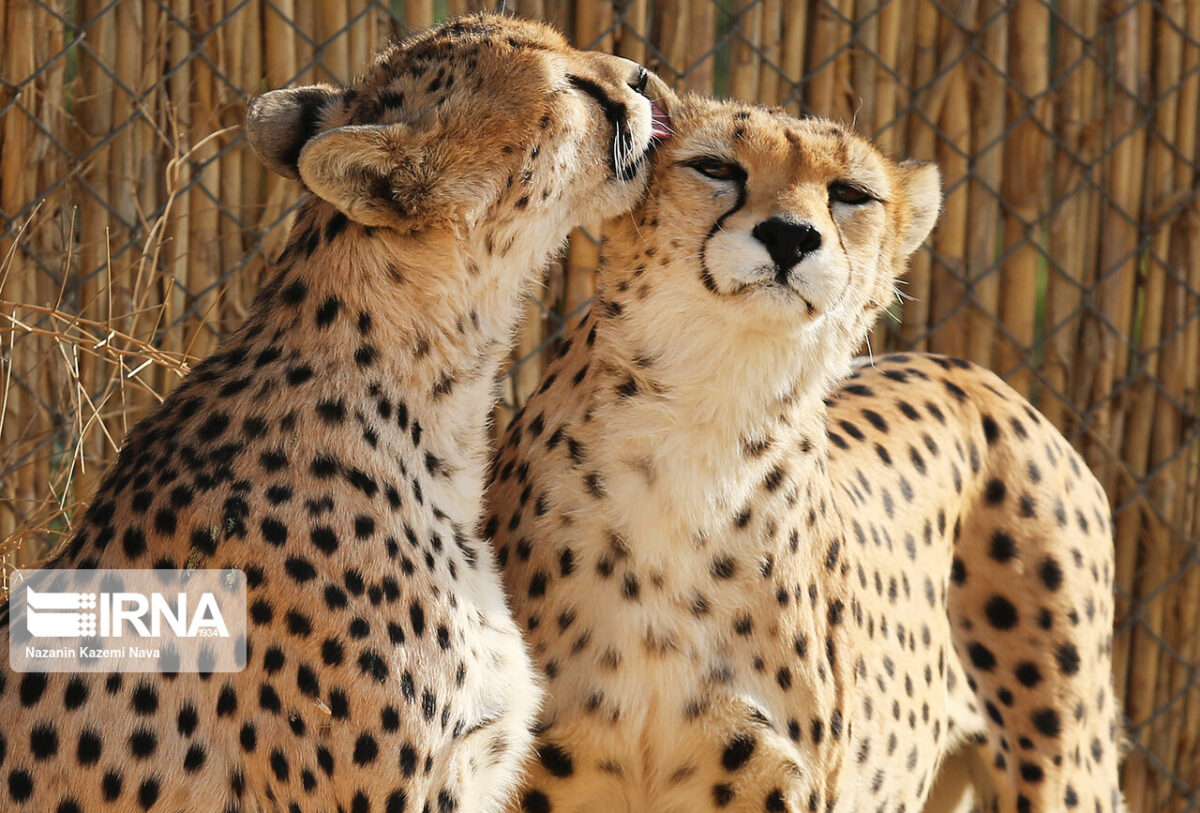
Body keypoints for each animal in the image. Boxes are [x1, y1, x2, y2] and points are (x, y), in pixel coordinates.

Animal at [485, 92, 1125, 813]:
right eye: (715, 167)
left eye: (850, 193)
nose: (790, 236)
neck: (706, 422)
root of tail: (978, 375)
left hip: (1066, 770)